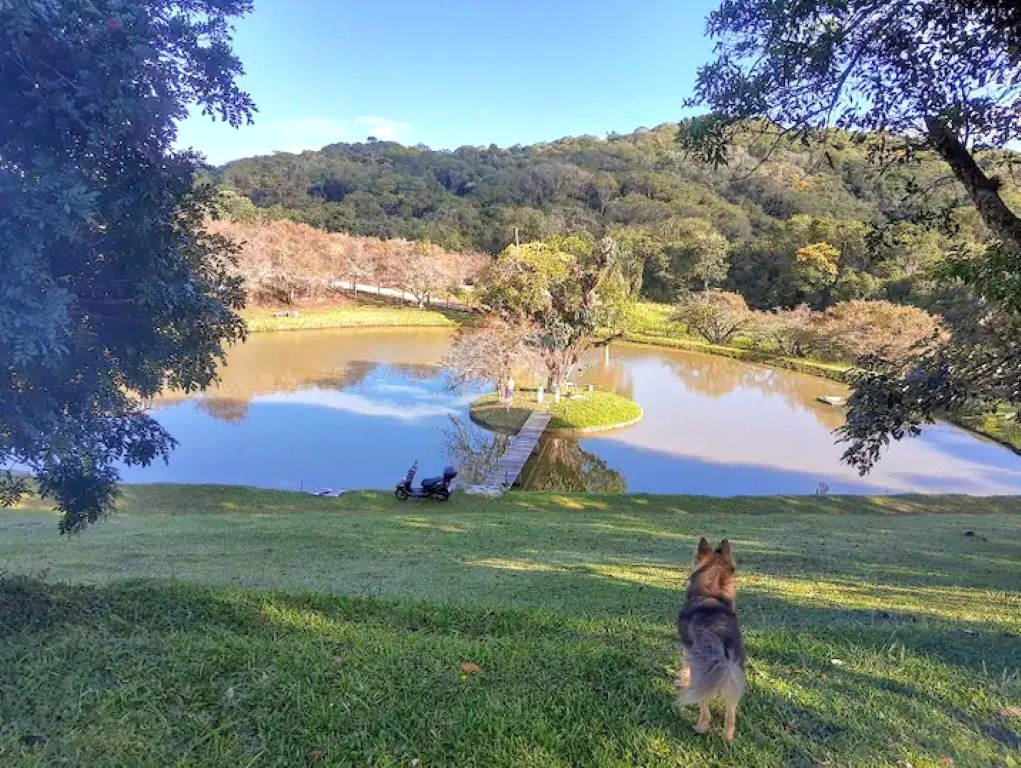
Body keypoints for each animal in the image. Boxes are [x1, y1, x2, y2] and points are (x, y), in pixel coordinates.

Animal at [673, 535, 747, 739]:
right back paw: (727, 736)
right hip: (733, 673)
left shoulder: (688, 650)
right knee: (731, 708)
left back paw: (700, 727)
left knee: (704, 705)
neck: (711, 594)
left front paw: (682, 681)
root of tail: (720, 637)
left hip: (704, 671)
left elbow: (685, 668)